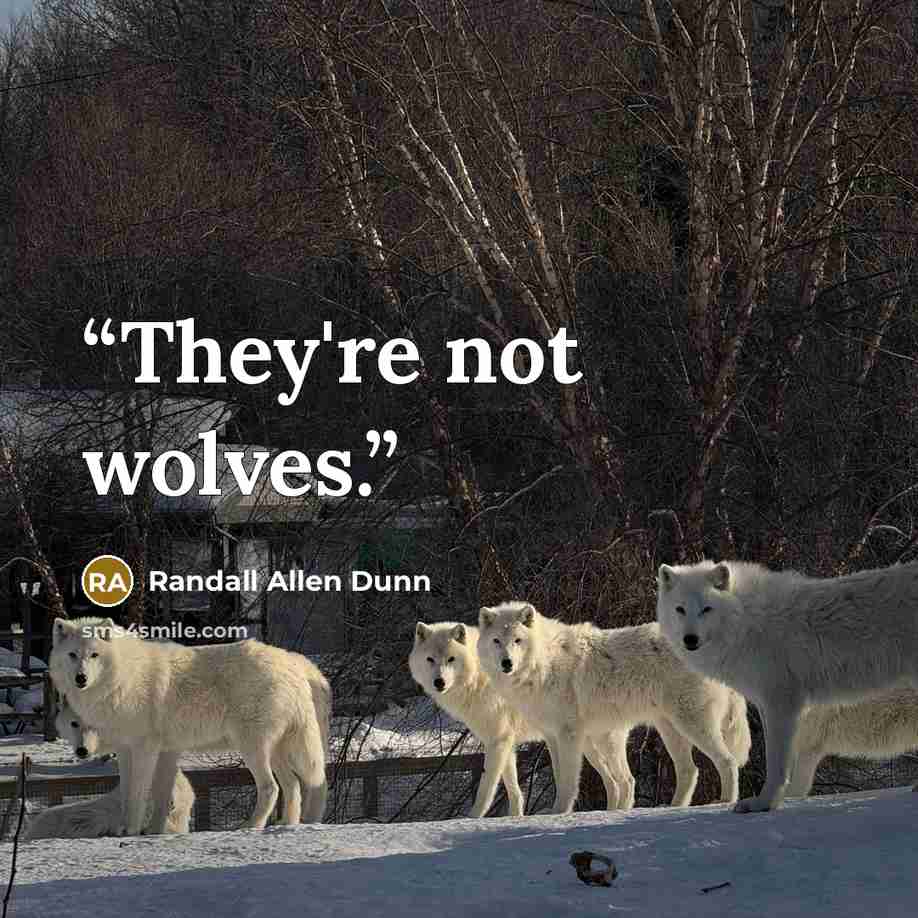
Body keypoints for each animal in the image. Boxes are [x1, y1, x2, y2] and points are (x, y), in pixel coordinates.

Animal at [50, 617, 330, 834]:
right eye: (72, 655)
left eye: (94, 655)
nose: (81, 678)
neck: (124, 678)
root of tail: (293, 665)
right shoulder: (143, 750)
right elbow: (148, 795)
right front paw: (151, 832)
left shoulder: (144, 749)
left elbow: (137, 794)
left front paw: (130, 832)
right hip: (277, 751)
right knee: (293, 786)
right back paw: (286, 825)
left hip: (254, 748)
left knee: (272, 788)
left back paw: (250, 827)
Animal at [477, 602, 751, 815]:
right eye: (497, 641)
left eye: (518, 640)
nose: (507, 663)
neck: (544, 662)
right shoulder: (552, 736)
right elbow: (558, 774)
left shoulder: (569, 734)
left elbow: (568, 779)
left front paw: (560, 812)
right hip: (670, 730)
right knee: (689, 770)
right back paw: (673, 807)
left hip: (692, 724)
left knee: (727, 761)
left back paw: (725, 801)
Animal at [655, 559, 918, 812]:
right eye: (680, 609)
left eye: (706, 609)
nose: (690, 640)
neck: (747, 620)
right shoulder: (768, 706)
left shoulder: (781, 703)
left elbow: (776, 763)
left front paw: (765, 804)